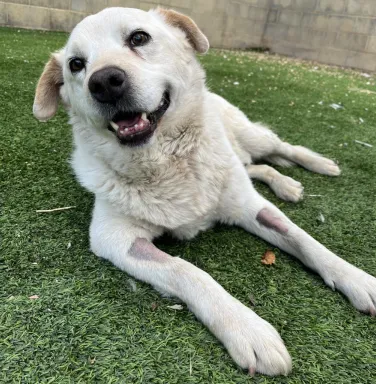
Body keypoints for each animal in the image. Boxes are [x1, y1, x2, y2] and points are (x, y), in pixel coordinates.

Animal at [33, 7, 376, 376]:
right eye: (76, 64)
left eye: (139, 37)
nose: (104, 82)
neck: (167, 163)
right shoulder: (115, 238)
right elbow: (187, 271)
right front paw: (247, 328)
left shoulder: (250, 206)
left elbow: (305, 240)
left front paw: (357, 279)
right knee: (259, 166)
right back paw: (286, 184)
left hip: (252, 137)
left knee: (281, 148)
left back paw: (319, 164)